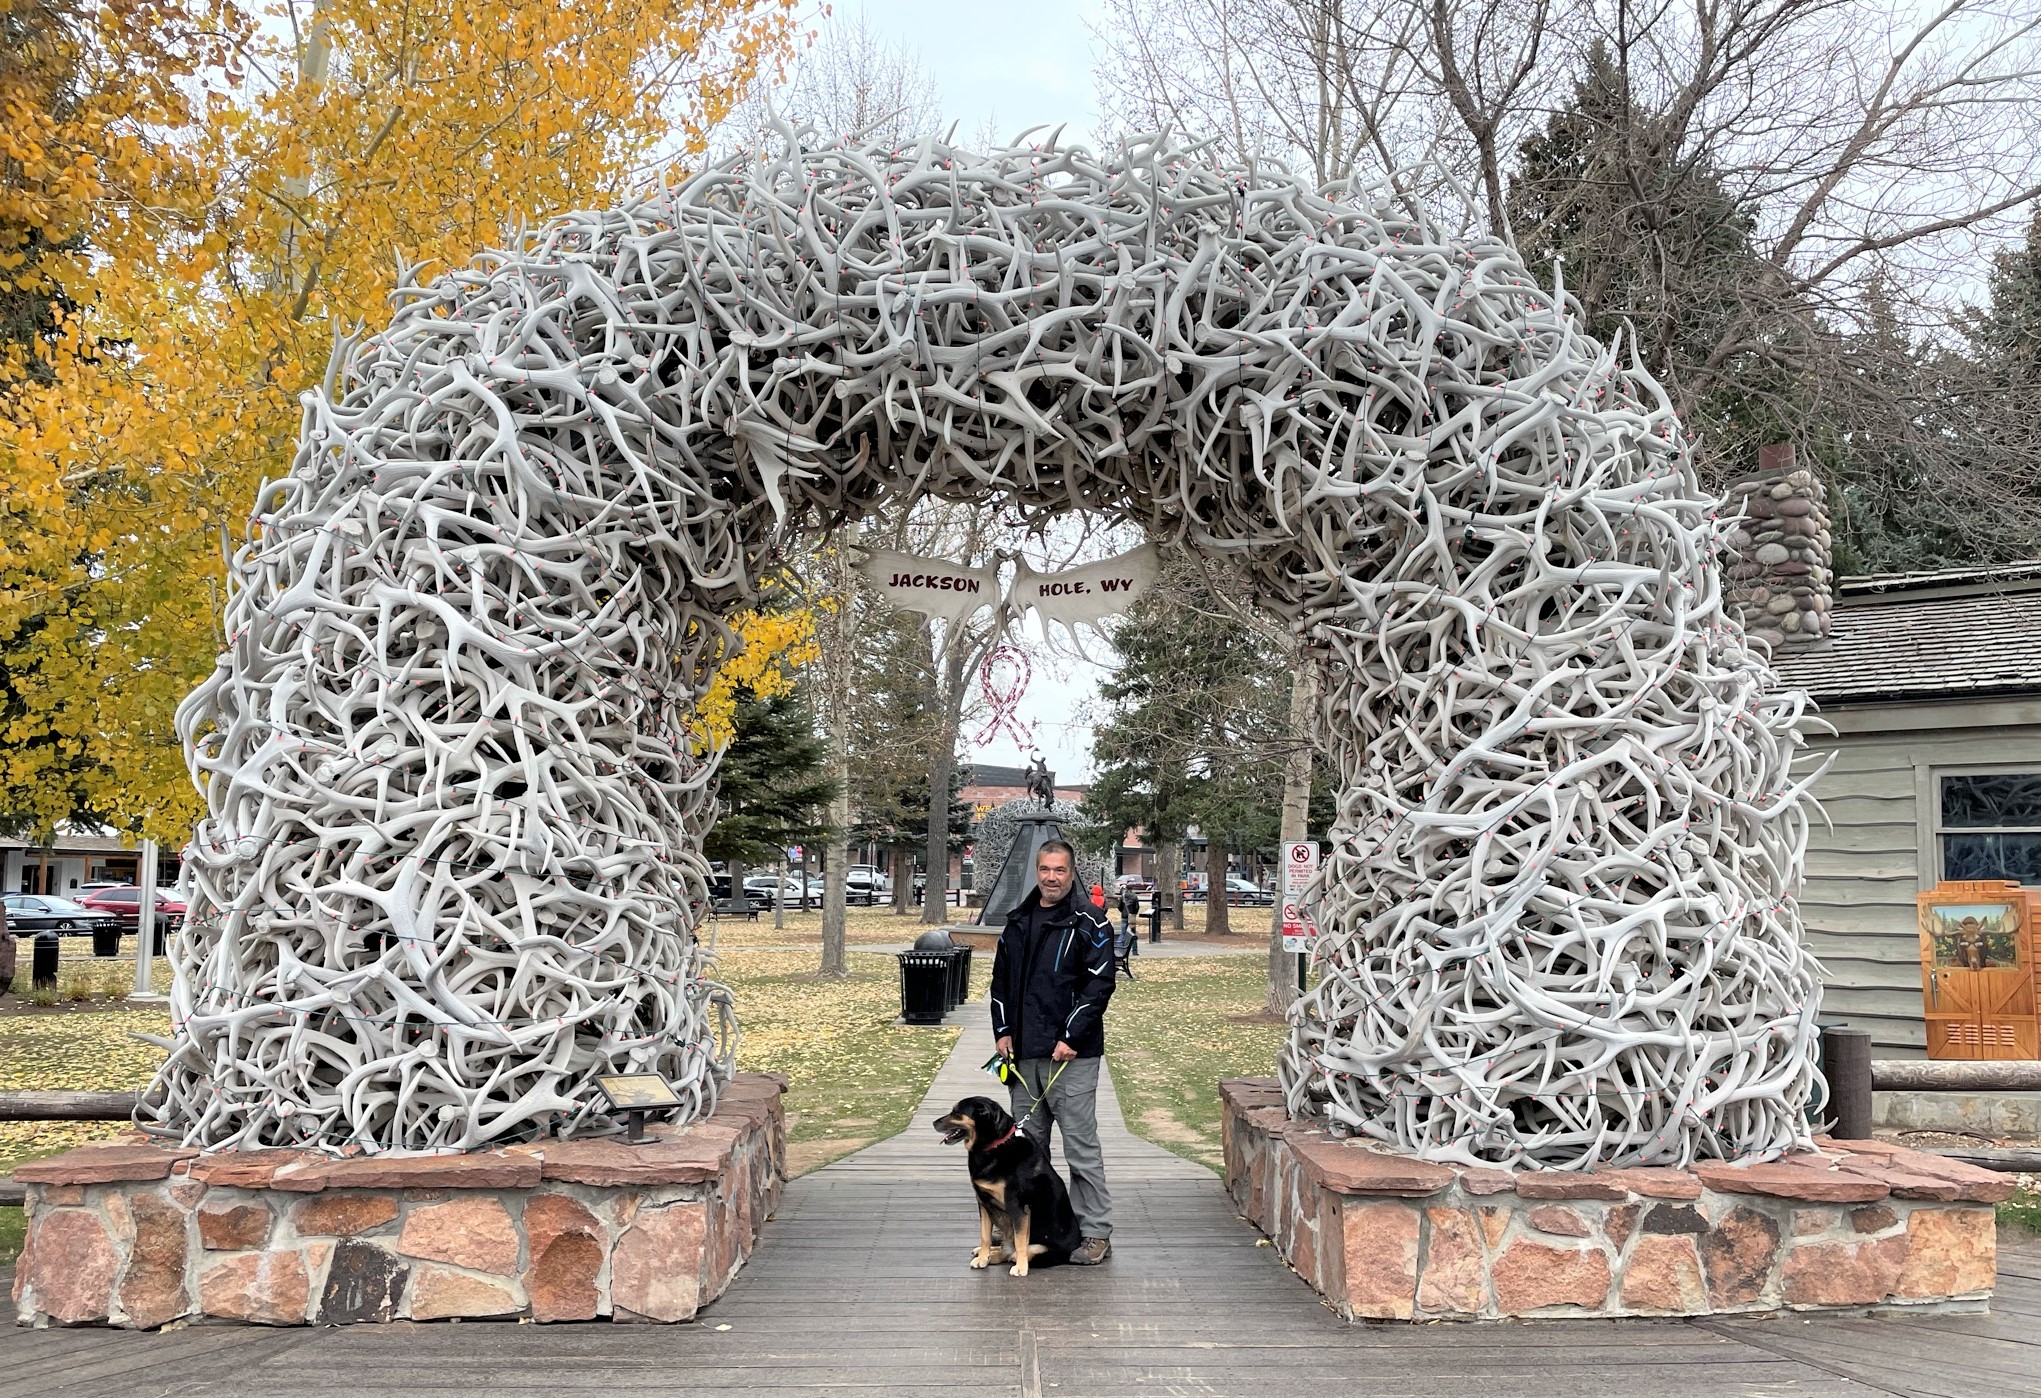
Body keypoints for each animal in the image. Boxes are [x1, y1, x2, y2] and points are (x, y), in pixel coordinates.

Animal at [934, 1093, 1085, 1273]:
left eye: (956, 1113)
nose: (933, 1123)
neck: (994, 1145)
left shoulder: (1018, 1206)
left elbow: (1020, 1242)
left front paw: (1020, 1268)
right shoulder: (983, 1202)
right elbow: (984, 1236)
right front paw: (983, 1257)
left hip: (1040, 1249)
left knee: (1013, 1253)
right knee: (1006, 1250)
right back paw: (988, 1253)